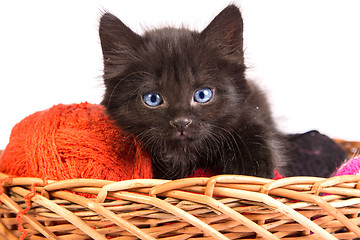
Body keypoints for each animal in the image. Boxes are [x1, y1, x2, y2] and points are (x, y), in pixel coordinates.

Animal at [98, 4, 284, 179]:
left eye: (203, 95)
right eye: (152, 98)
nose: (181, 122)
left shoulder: (250, 109)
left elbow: (250, 125)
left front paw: (251, 171)